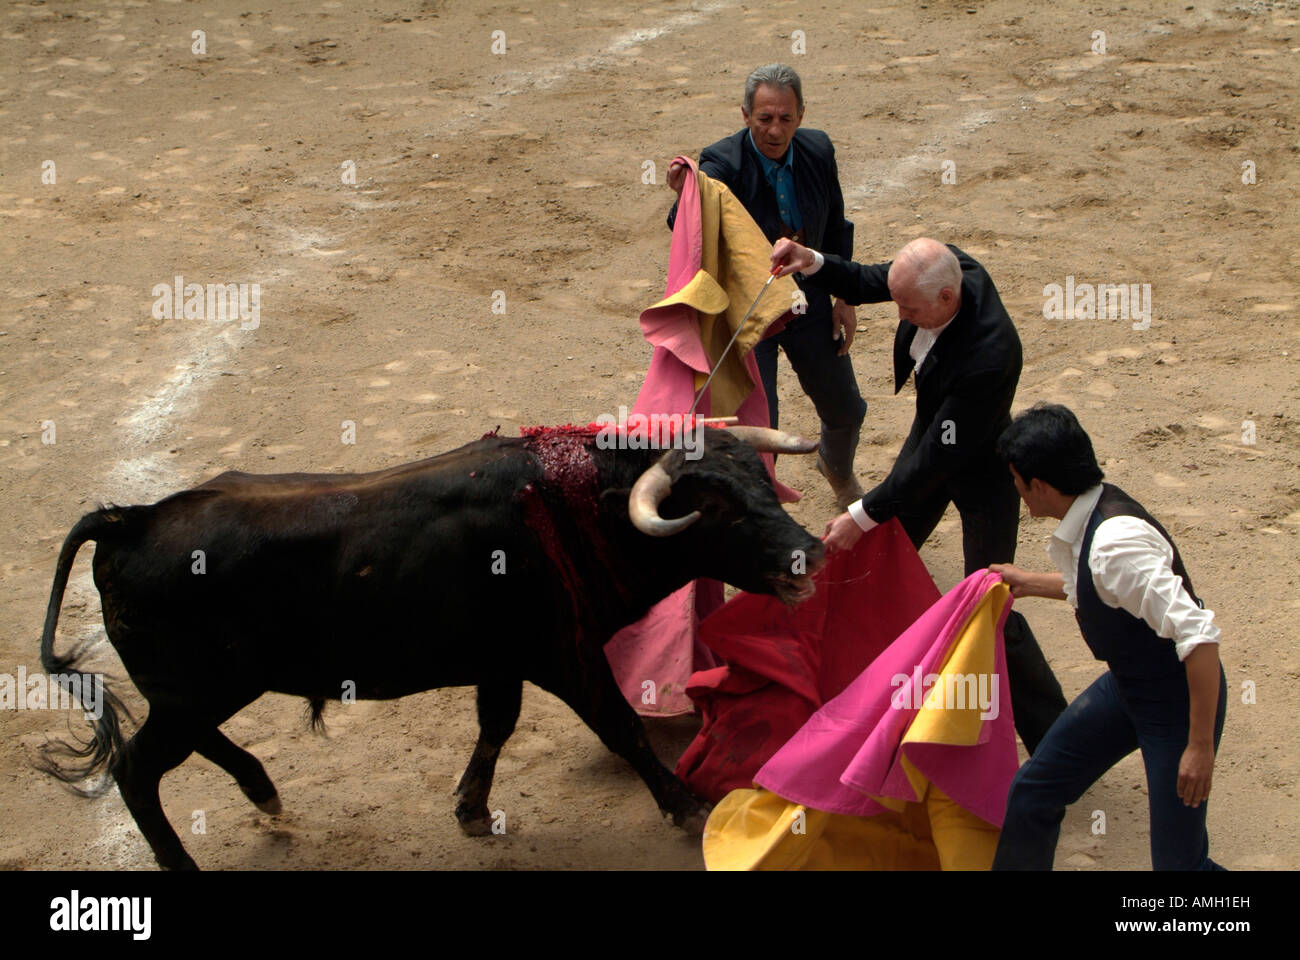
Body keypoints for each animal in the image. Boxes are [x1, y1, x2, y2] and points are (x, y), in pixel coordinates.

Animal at [43, 418, 832, 868]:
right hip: (193, 693)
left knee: (176, 750)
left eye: (765, 484)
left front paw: (472, 811)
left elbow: (497, 726)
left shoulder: (504, 662)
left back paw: (264, 792)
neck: (571, 504)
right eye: (715, 509)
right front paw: (687, 806)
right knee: (137, 770)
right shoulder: (565, 656)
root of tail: (131, 519)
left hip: (196, 695)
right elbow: (622, 728)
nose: (812, 553)